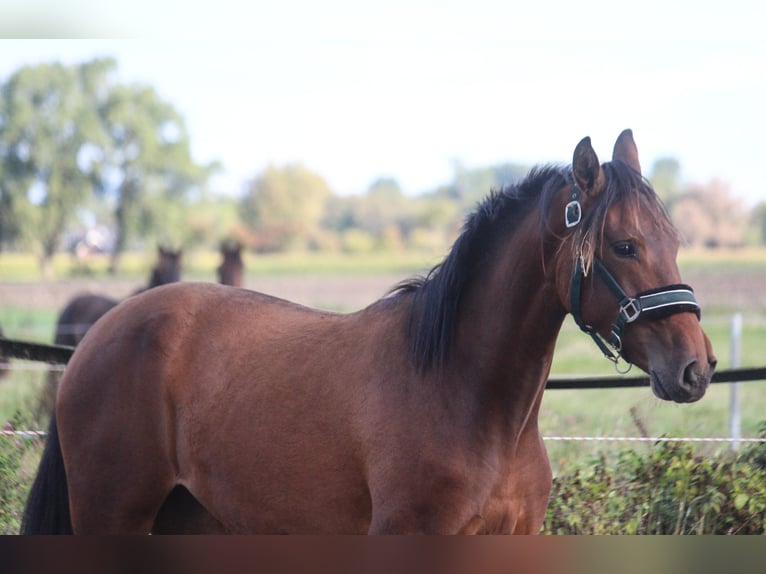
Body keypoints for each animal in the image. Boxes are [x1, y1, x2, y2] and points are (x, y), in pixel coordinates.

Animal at [22, 130, 720, 536]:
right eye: (624, 245)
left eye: (674, 240)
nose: (696, 367)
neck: (467, 395)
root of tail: (97, 338)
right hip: (113, 518)